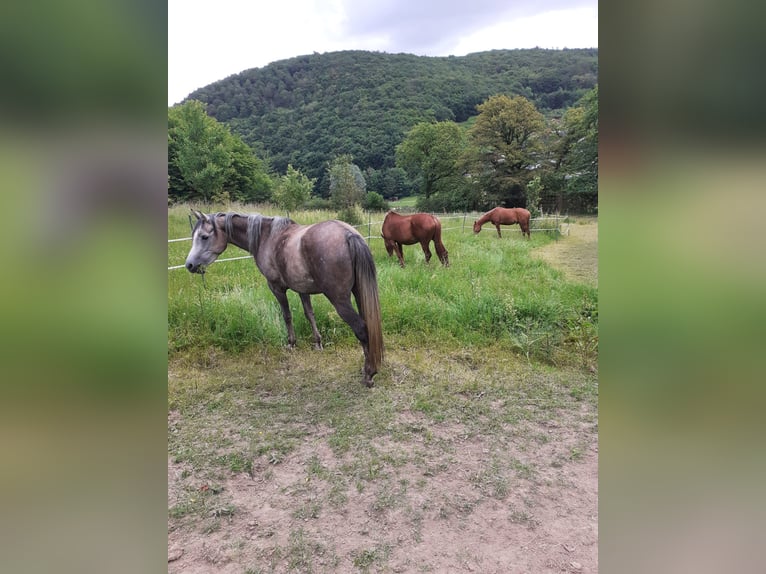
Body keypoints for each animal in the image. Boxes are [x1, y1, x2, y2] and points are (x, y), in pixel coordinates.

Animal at [186, 209, 384, 390]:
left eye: (204, 237)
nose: (189, 265)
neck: (267, 237)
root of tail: (349, 234)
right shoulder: (302, 289)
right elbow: (309, 314)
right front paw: (318, 343)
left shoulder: (276, 288)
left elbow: (287, 316)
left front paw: (291, 343)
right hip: (358, 293)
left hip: (340, 300)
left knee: (361, 329)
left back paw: (369, 373)